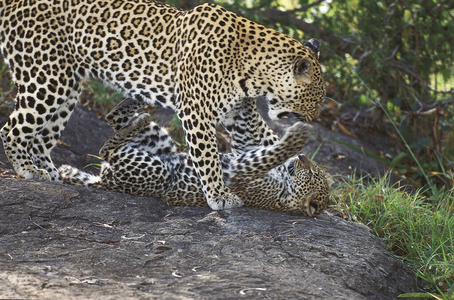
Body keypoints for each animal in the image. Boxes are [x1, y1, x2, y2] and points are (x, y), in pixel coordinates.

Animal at [0, 0, 326, 210]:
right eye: (316, 99)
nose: (313, 119)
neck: (254, 70)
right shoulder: (197, 111)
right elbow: (208, 157)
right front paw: (219, 196)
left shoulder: (239, 114)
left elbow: (265, 141)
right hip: (46, 77)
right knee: (12, 128)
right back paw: (27, 170)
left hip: (68, 85)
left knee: (43, 136)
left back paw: (50, 172)